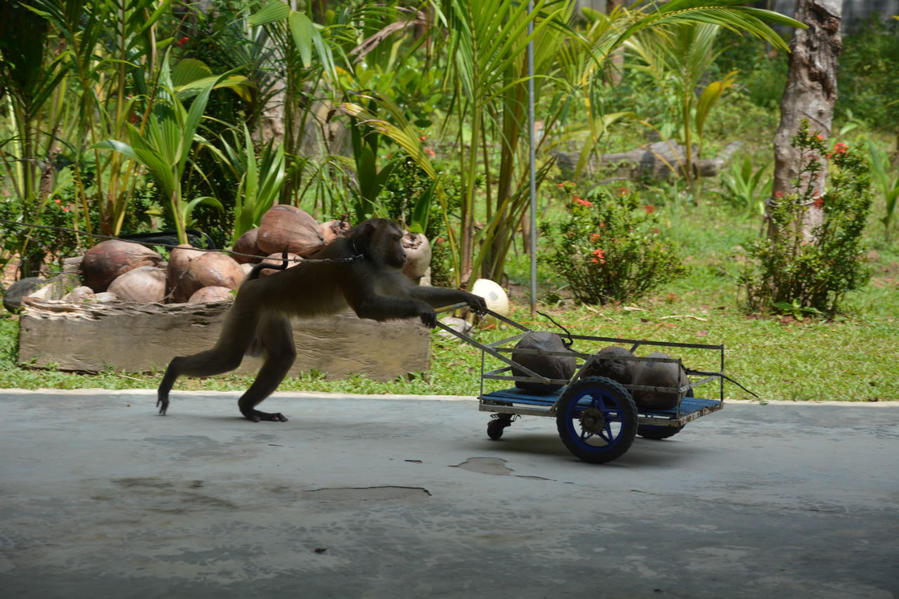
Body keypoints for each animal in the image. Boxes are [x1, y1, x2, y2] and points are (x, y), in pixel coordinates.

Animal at [158, 219, 488, 422]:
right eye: (395, 238)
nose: (404, 256)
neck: (362, 253)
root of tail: (252, 282)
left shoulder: (383, 268)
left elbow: (409, 292)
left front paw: (469, 297)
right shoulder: (351, 265)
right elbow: (367, 307)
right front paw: (422, 310)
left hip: (269, 313)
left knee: (282, 356)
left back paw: (248, 408)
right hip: (250, 306)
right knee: (229, 357)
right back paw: (175, 368)